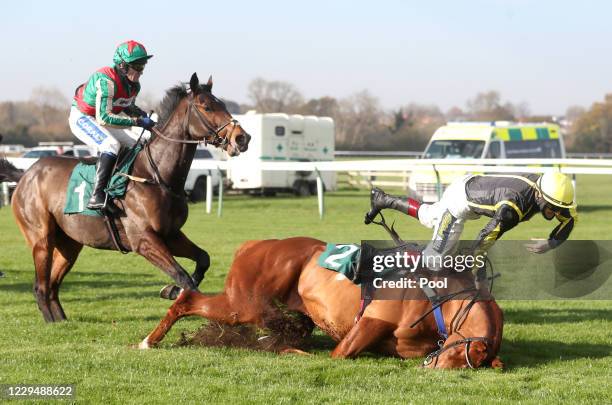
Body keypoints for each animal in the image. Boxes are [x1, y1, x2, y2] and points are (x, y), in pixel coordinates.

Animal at [5, 73, 250, 322]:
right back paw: (51, 321)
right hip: (41, 239)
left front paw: (172, 290)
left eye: (224, 105)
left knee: (53, 285)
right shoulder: (143, 240)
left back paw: (61, 321)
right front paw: (177, 293)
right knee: (41, 286)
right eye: (207, 107)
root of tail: (25, 174)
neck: (156, 175)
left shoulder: (170, 234)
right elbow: (184, 277)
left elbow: (203, 259)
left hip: (70, 243)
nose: (242, 138)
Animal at [141, 235, 504, 368]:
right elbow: (331, 355)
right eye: (461, 353)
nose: (430, 367)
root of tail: (254, 244)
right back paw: (149, 340)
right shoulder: (363, 328)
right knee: (188, 299)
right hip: (243, 304)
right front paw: (285, 350)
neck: (439, 305)